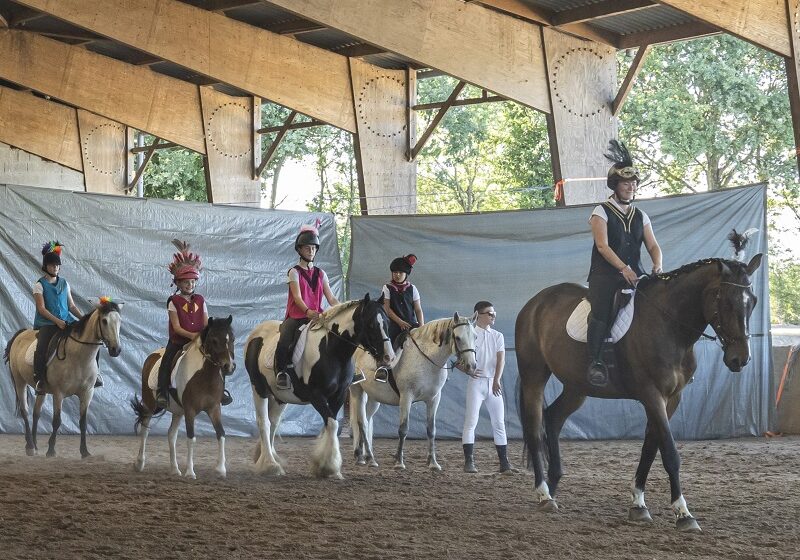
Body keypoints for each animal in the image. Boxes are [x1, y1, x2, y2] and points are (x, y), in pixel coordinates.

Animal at [244, 296, 394, 480]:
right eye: (371, 324)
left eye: (387, 322)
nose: (389, 357)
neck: (332, 351)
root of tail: (256, 332)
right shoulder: (316, 396)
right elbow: (332, 424)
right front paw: (329, 466)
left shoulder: (338, 396)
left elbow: (330, 424)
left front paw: (325, 466)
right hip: (258, 388)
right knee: (263, 422)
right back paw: (270, 465)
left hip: (279, 396)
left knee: (273, 421)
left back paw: (267, 456)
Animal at [348, 312, 476, 470]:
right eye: (458, 338)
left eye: (476, 337)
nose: (471, 365)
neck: (426, 358)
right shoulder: (406, 397)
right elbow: (403, 429)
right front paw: (399, 462)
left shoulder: (434, 399)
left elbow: (431, 430)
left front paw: (433, 463)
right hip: (357, 391)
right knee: (361, 422)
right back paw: (365, 457)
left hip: (373, 397)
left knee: (366, 419)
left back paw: (365, 455)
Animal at [516, 234, 760, 532]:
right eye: (726, 302)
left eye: (753, 302)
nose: (740, 360)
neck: (669, 324)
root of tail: (535, 303)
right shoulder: (651, 394)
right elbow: (669, 453)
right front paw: (683, 514)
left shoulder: (671, 398)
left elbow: (649, 449)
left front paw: (638, 505)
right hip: (534, 376)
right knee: (534, 428)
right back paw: (543, 495)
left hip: (577, 387)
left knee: (552, 418)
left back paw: (553, 486)